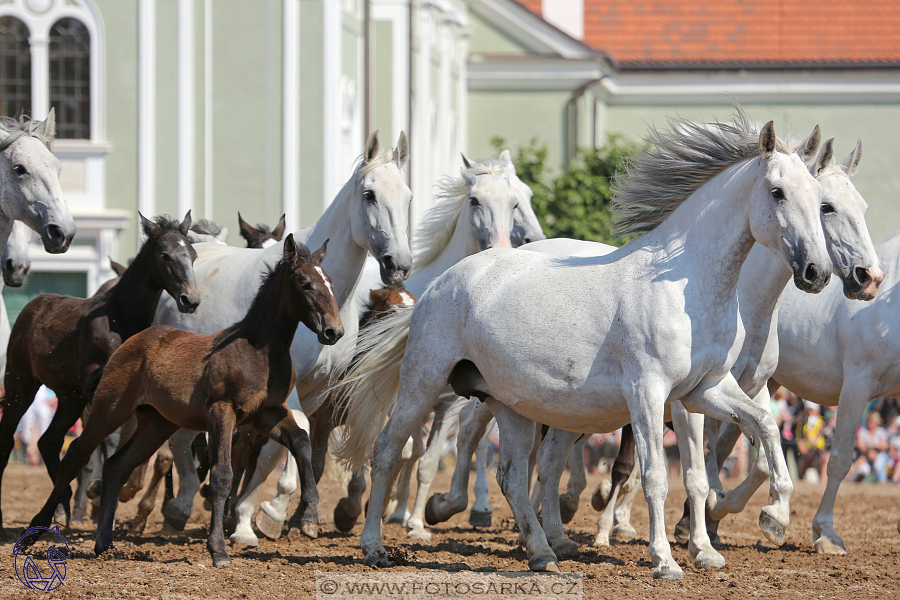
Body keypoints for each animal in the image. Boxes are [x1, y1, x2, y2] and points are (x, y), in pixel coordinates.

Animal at [0, 212, 199, 536]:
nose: (190, 299)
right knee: (9, 438)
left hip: (69, 397)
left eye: (192, 255)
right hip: (21, 384)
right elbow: (108, 441)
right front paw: (105, 494)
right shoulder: (97, 384)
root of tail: (34, 305)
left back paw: (63, 506)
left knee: (49, 441)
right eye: (165, 255)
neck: (120, 316)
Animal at [29, 236, 342, 568]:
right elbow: (222, 475)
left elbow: (302, 442)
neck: (260, 351)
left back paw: (105, 544)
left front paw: (309, 517)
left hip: (156, 424)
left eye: (330, 282)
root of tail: (128, 344)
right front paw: (218, 550)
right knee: (76, 455)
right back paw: (36, 530)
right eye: (306, 284)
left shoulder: (268, 413)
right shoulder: (222, 411)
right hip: (110, 408)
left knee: (115, 466)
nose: (333, 331)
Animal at [153, 131, 414, 536]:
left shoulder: (320, 391)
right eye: (369, 194)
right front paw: (268, 513)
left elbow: (292, 451)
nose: (397, 265)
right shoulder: (285, 391)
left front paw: (256, 516)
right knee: (179, 438)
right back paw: (178, 507)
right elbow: (287, 441)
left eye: (408, 197)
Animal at [229, 154, 520, 544]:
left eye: (513, 203)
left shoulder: (445, 402)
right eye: (475, 200)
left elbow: (423, 460)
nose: (501, 248)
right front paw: (343, 508)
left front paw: (413, 520)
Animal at [336, 110, 828, 580]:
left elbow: (758, 430)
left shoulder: (704, 391)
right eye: (778, 192)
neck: (688, 286)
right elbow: (655, 477)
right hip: (424, 382)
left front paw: (771, 518)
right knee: (388, 450)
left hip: (509, 404)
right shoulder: (648, 393)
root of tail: (435, 287)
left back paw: (543, 553)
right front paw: (665, 561)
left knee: (512, 476)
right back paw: (377, 545)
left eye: (820, 199)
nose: (817, 272)